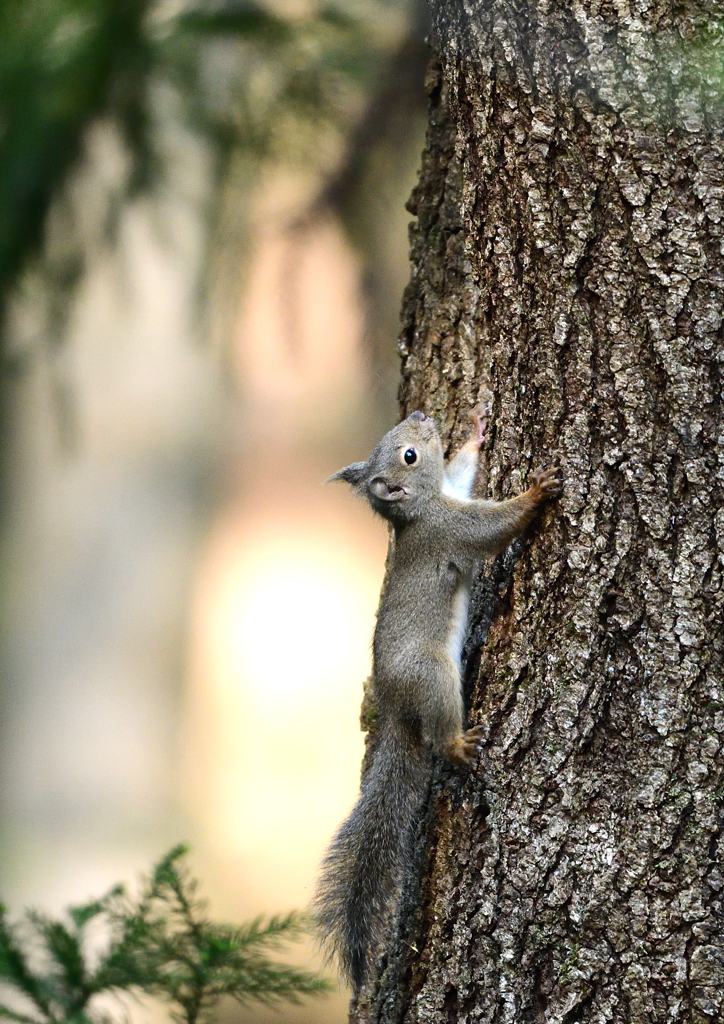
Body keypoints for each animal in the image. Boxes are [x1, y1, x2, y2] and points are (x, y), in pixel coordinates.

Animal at [313, 401, 565, 991]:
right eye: (408, 455)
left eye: (405, 440)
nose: (424, 415)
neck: (423, 506)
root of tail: (396, 709)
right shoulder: (451, 528)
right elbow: (493, 526)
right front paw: (535, 494)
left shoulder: (454, 489)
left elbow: (463, 469)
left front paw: (475, 428)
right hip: (432, 675)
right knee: (438, 736)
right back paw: (459, 744)